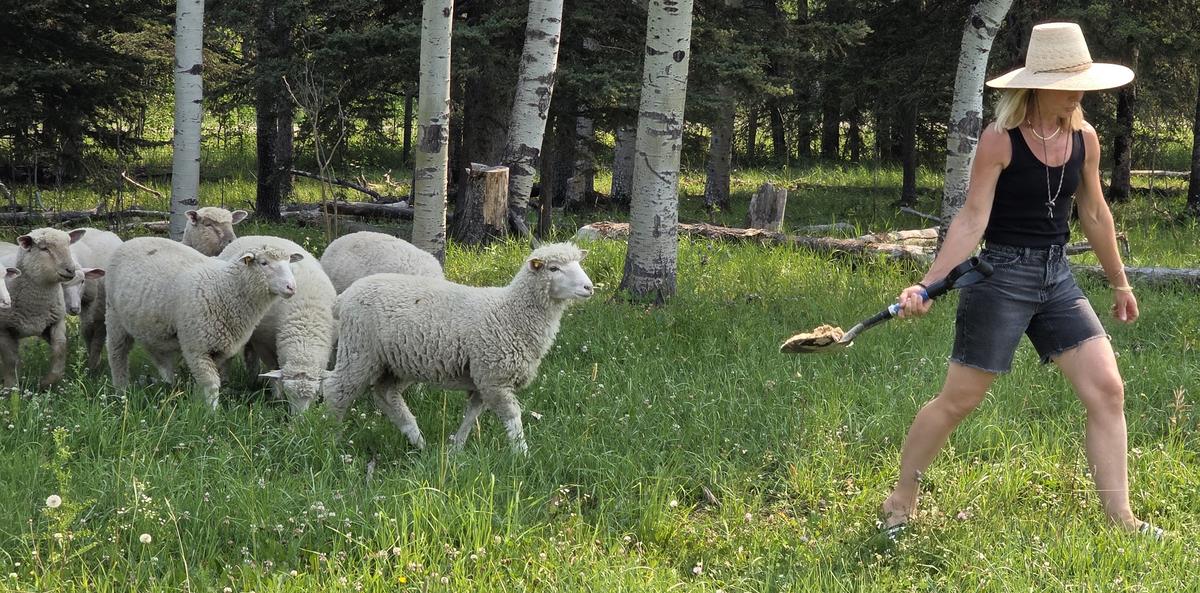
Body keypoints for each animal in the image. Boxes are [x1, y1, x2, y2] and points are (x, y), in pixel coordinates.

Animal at [0, 228, 97, 388]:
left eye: (68, 244)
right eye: (44, 248)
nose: (70, 270)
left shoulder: (55, 322)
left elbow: (60, 349)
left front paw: (46, 383)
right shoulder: (4, 329)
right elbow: (11, 361)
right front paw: (11, 388)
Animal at [105, 237, 302, 408]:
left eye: (289, 262)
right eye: (264, 263)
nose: (291, 287)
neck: (223, 288)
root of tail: (131, 241)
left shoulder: (220, 348)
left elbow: (213, 381)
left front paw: (199, 400)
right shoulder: (197, 347)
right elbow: (211, 384)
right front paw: (211, 413)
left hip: (150, 326)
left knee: (159, 355)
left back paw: (169, 384)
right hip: (114, 318)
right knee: (117, 355)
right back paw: (121, 390)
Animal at [218, 235, 336, 414]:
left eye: (314, 393)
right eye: (289, 393)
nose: (300, 420)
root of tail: (254, 236)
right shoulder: (263, 342)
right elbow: (273, 366)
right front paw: (277, 396)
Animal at [323, 242, 594, 453]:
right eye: (553, 268)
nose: (589, 287)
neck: (510, 313)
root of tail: (343, 297)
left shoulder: (482, 378)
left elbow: (472, 414)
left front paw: (456, 449)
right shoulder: (495, 377)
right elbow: (512, 418)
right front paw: (522, 455)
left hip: (396, 362)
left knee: (385, 394)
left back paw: (418, 440)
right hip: (360, 350)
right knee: (336, 390)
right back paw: (333, 439)